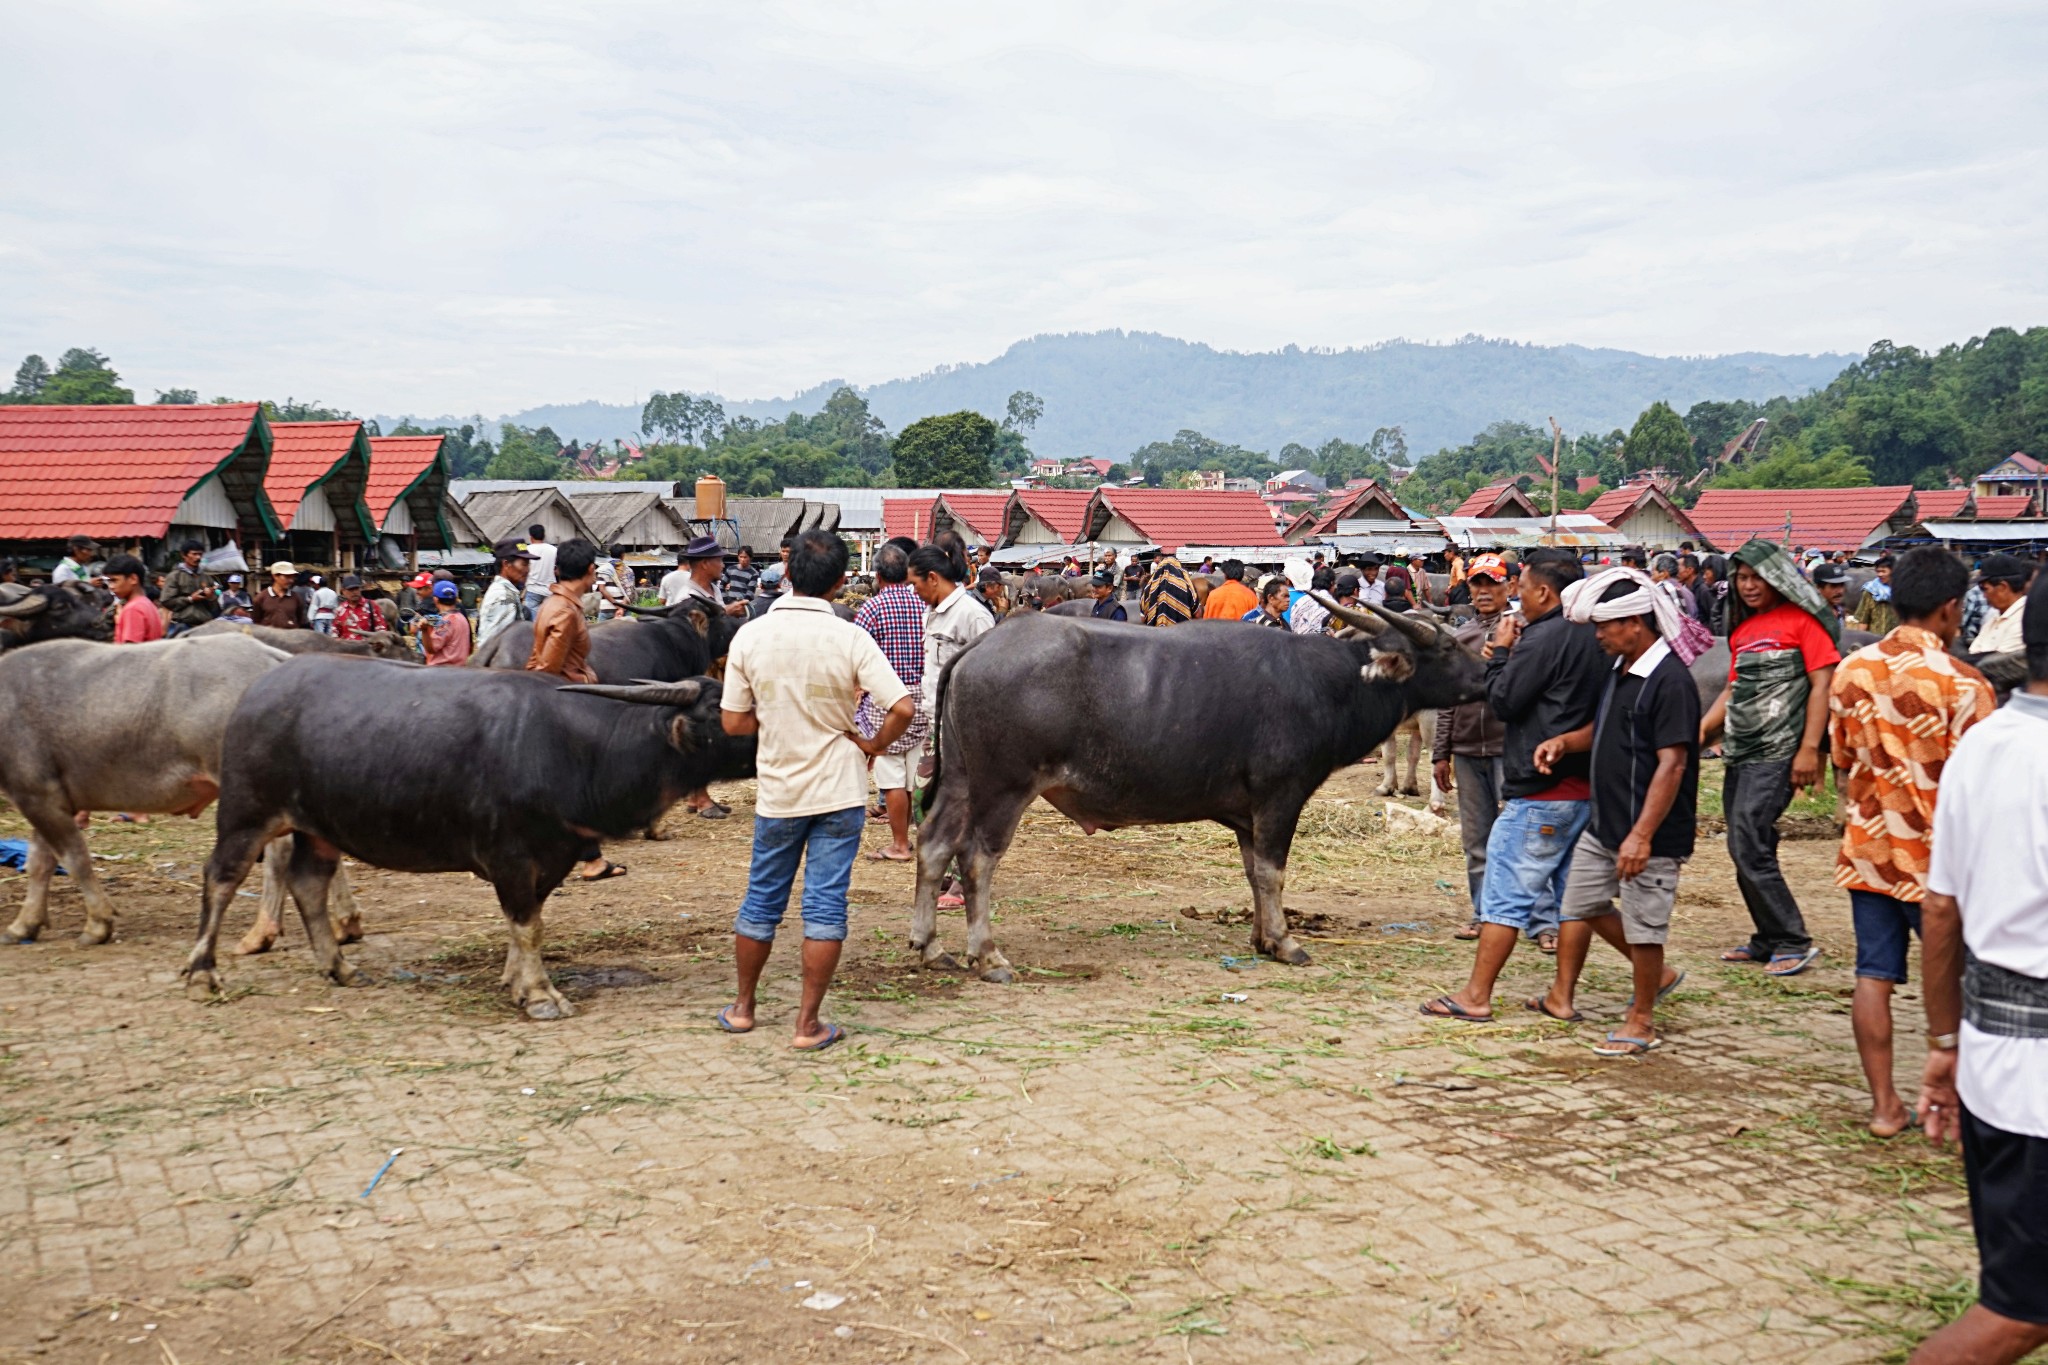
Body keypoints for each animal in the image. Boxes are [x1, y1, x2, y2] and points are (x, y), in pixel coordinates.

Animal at [0, 638, 360, 949]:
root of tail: (274, 658)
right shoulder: (48, 801)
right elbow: (40, 863)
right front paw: (24, 925)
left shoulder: (38, 795)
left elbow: (74, 859)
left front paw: (97, 924)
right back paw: (345, 924)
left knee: (278, 853)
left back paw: (261, 933)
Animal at [184, 654, 757, 1019]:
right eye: (722, 710)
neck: (574, 750)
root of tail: (255, 692)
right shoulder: (510, 856)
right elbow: (527, 925)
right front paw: (540, 995)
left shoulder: (554, 856)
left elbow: (528, 922)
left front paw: (514, 981)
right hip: (247, 813)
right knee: (222, 877)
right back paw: (203, 973)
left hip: (317, 828)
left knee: (309, 883)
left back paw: (339, 968)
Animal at [917, 593, 1490, 978]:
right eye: (1444, 646)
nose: (1485, 676)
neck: (1328, 684)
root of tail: (980, 647)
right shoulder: (1281, 797)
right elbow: (1274, 872)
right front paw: (1286, 942)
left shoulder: (1247, 814)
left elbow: (1254, 874)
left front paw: (1261, 937)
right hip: (1003, 788)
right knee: (976, 859)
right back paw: (987, 954)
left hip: (960, 781)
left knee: (933, 845)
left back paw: (929, 945)